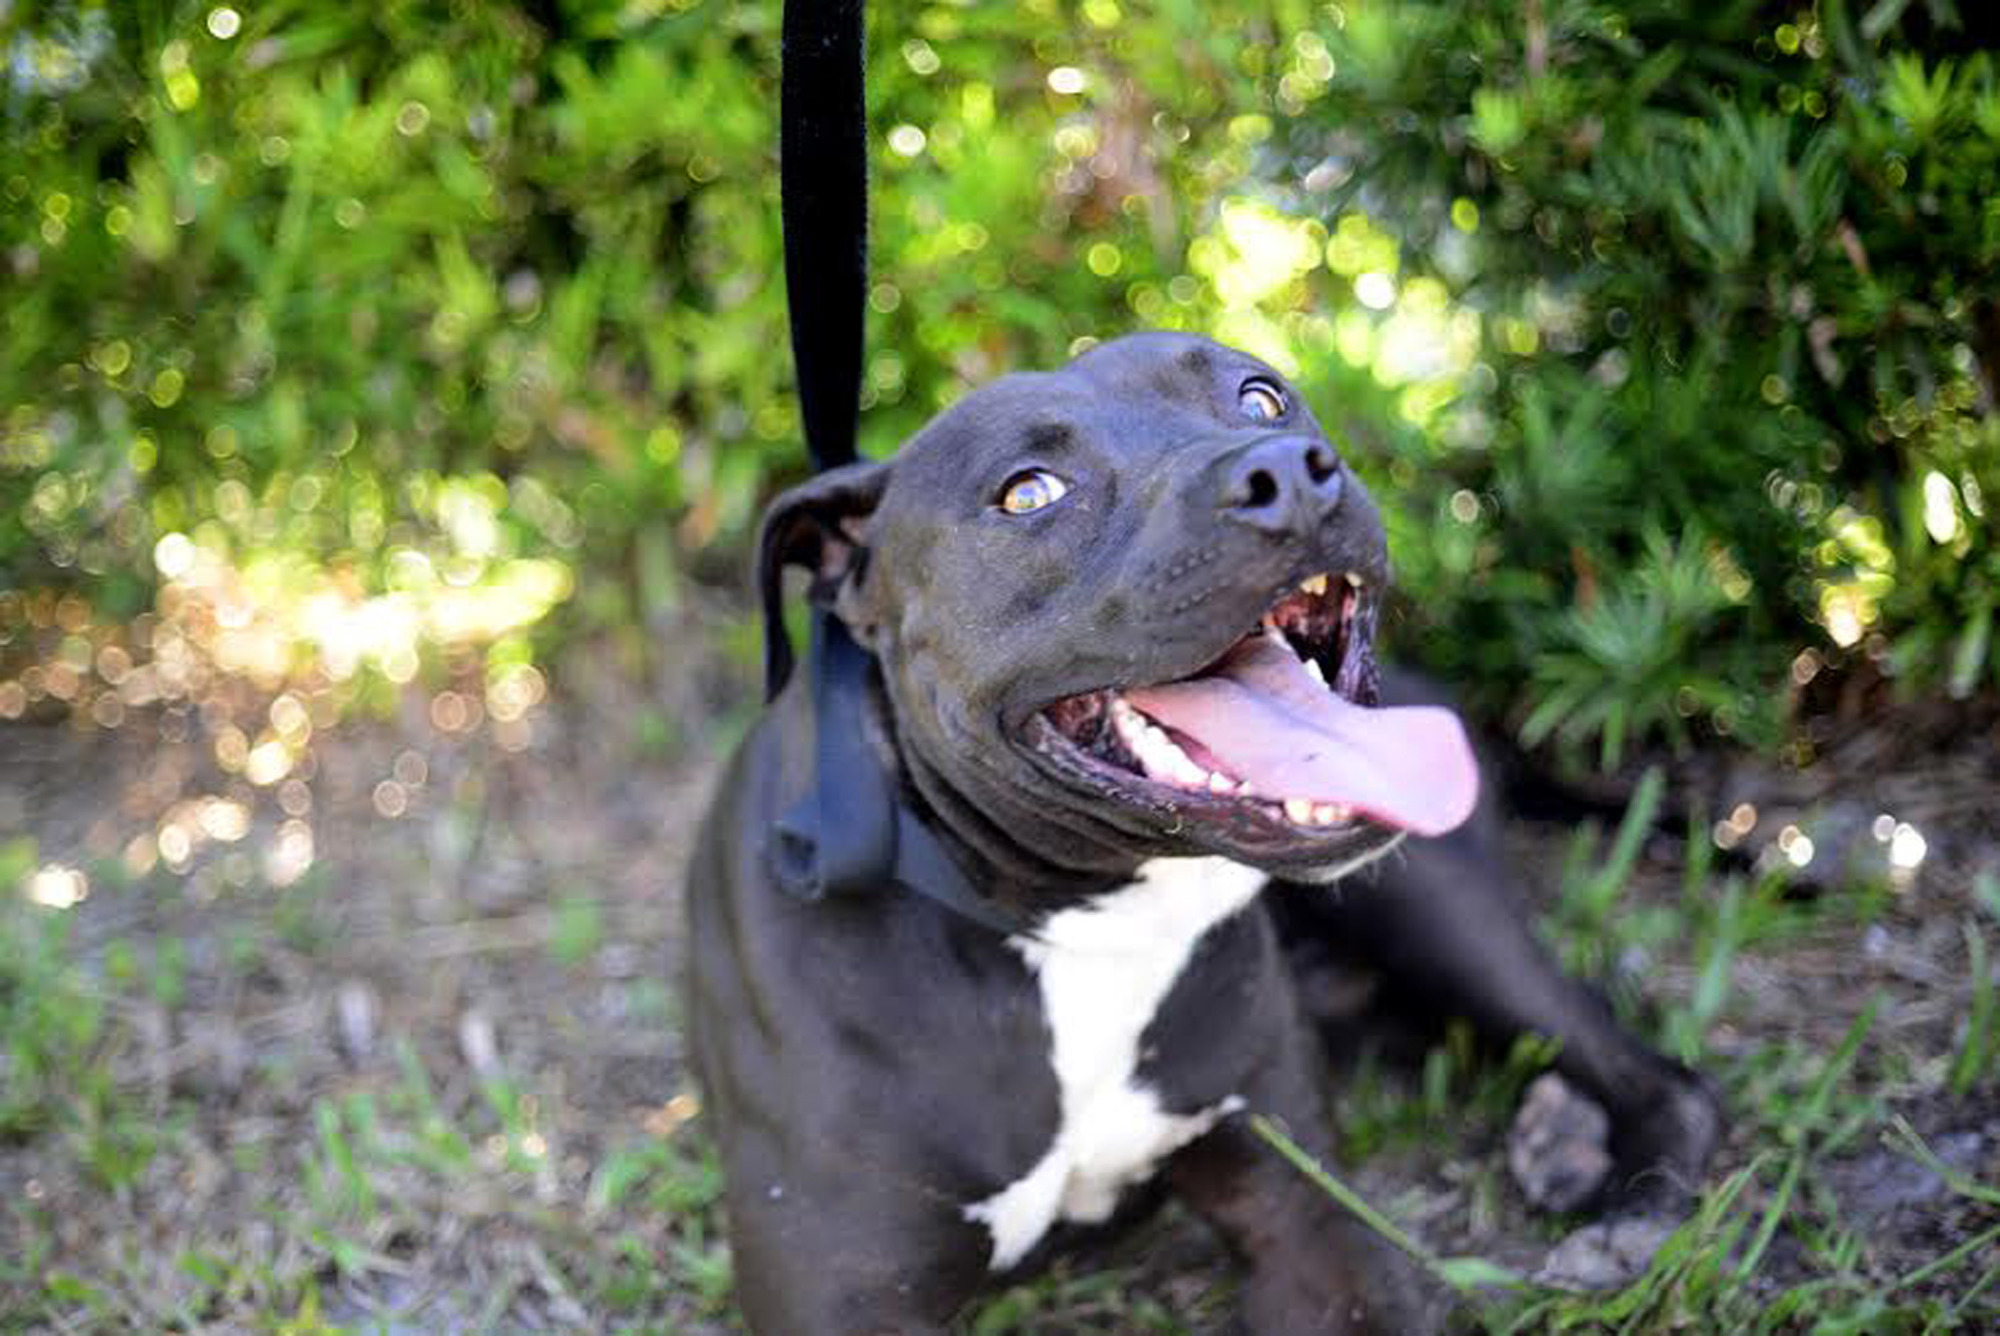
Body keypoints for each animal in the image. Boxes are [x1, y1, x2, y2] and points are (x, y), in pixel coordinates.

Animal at [688, 332, 1720, 1328]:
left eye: (1260, 397)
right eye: (1028, 492)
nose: (1291, 473)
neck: (1083, 929)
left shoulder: (1309, 1222)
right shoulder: (850, 1292)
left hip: (1432, 902)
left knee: (1654, 1070)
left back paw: (1630, 1206)